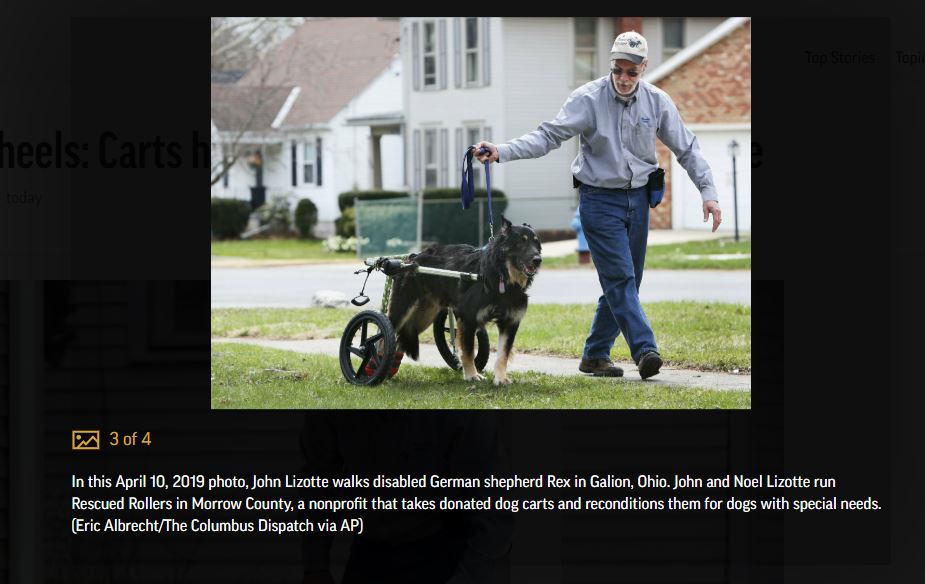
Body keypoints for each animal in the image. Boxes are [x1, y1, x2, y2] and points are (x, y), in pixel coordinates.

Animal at [384, 217, 540, 386]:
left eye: (536, 243)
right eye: (521, 242)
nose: (538, 260)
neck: (500, 275)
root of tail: (411, 258)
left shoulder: (510, 322)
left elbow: (503, 354)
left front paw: (500, 378)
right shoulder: (468, 318)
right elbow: (468, 351)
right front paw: (472, 375)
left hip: (424, 315)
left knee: (400, 338)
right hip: (403, 310)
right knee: (385, 335)